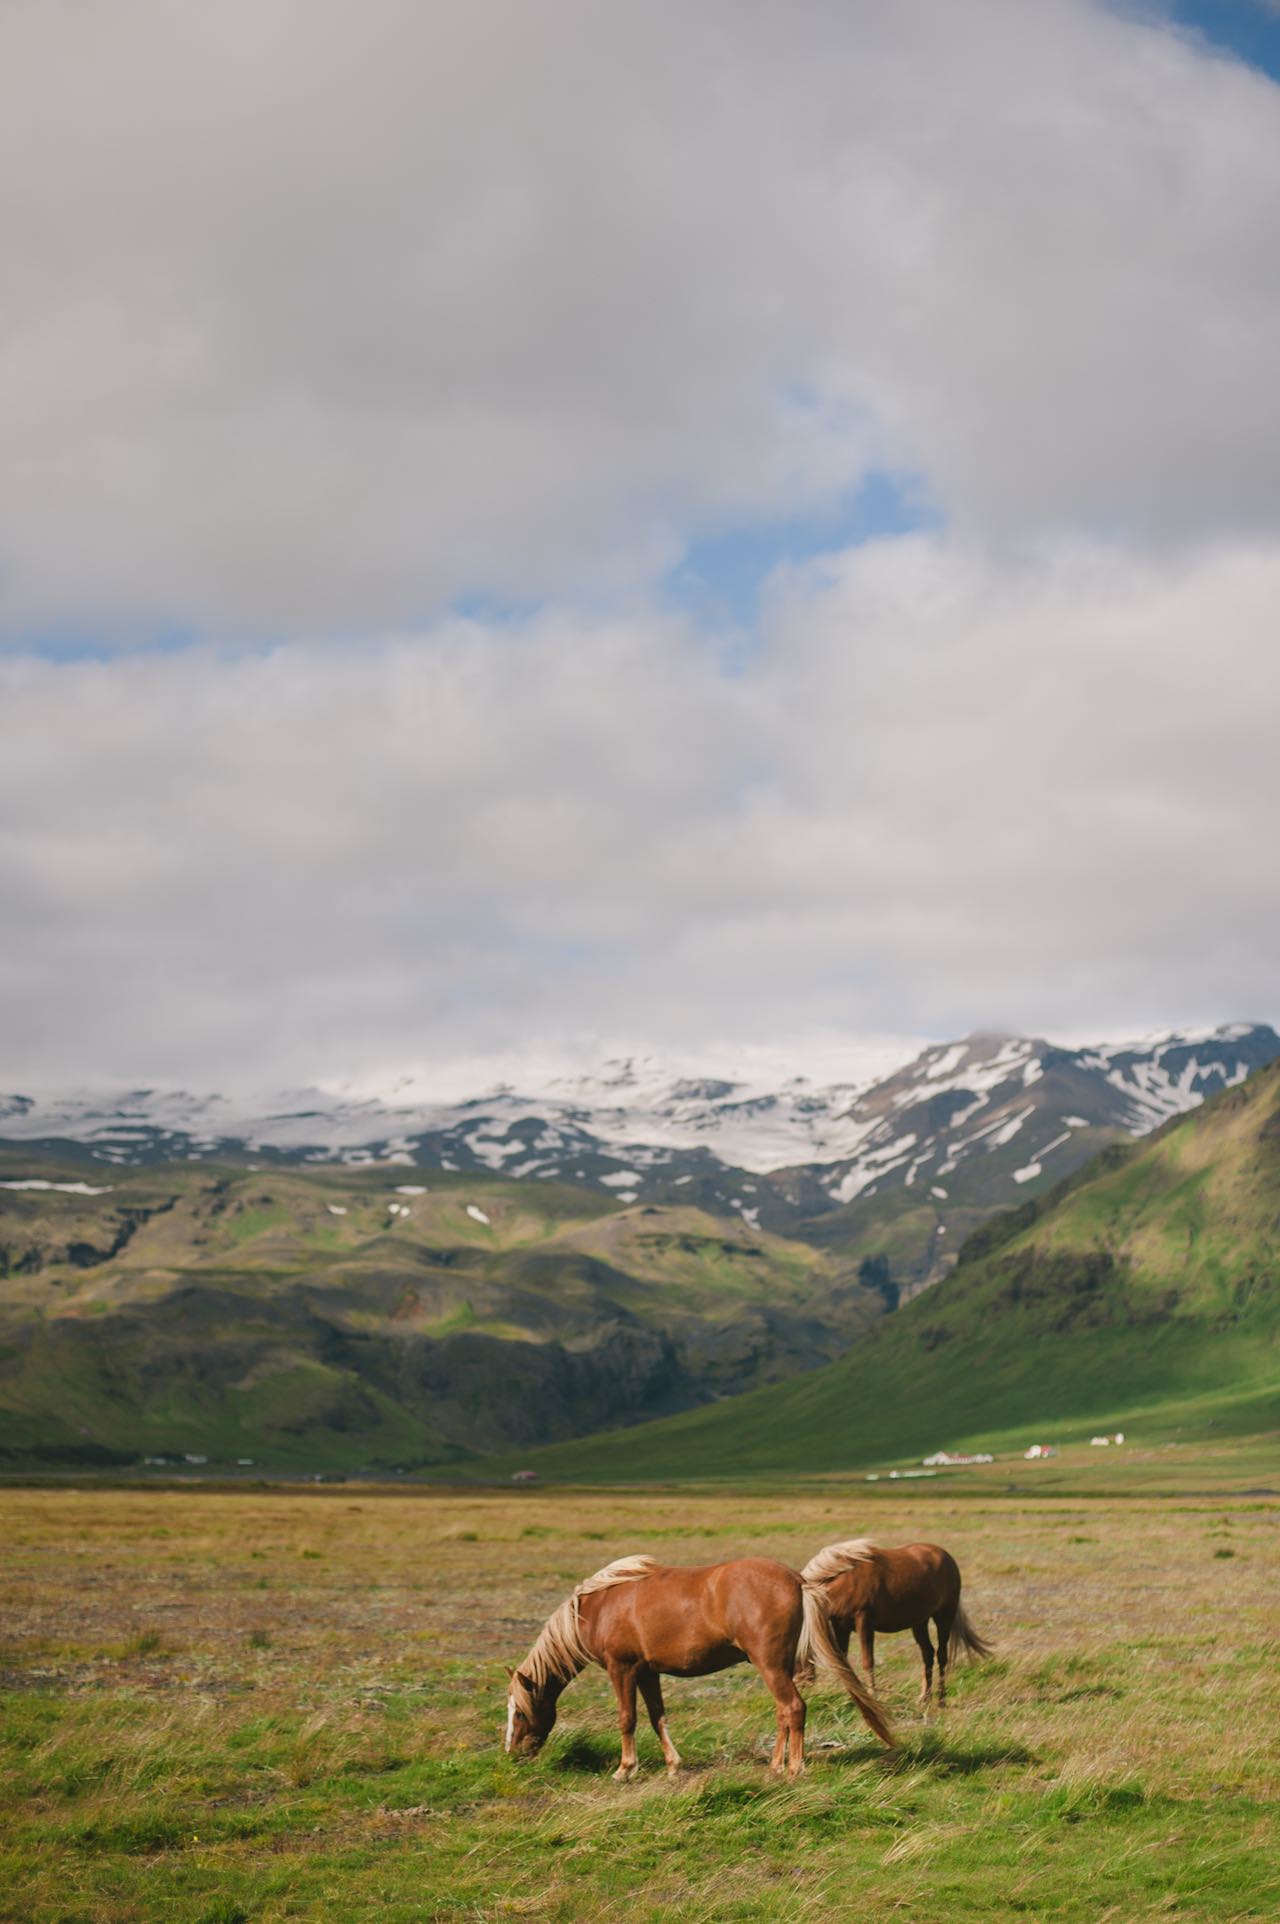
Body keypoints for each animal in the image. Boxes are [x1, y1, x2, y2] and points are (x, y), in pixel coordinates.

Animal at [500, 1546, 889, 1770]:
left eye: (519, 1712)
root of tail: (796, 1580)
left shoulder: (620, 1669)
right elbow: (657, 1716)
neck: (597, 1607)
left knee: (793, 1708)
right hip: (776, 1668)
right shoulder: (647, 1672)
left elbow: (627, 1718)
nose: (513, 1753)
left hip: (770, 1665)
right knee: (784, 1712)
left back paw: (793, 1769)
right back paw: (776, 1766)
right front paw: (673, 1764)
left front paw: (626, 1768)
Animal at [800, 1539, 985, 1708]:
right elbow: (842, 1662)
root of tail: (946, 1557)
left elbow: (868, 1661)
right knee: (927, 1653)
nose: (803, 1685)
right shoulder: (840, 1626)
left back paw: (941, 1700)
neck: (844, 1578)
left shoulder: (864, 1622)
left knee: (941, 1655)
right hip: (919, 1622)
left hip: (944, 1616)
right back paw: (924, 1698)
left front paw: (872, 1696)